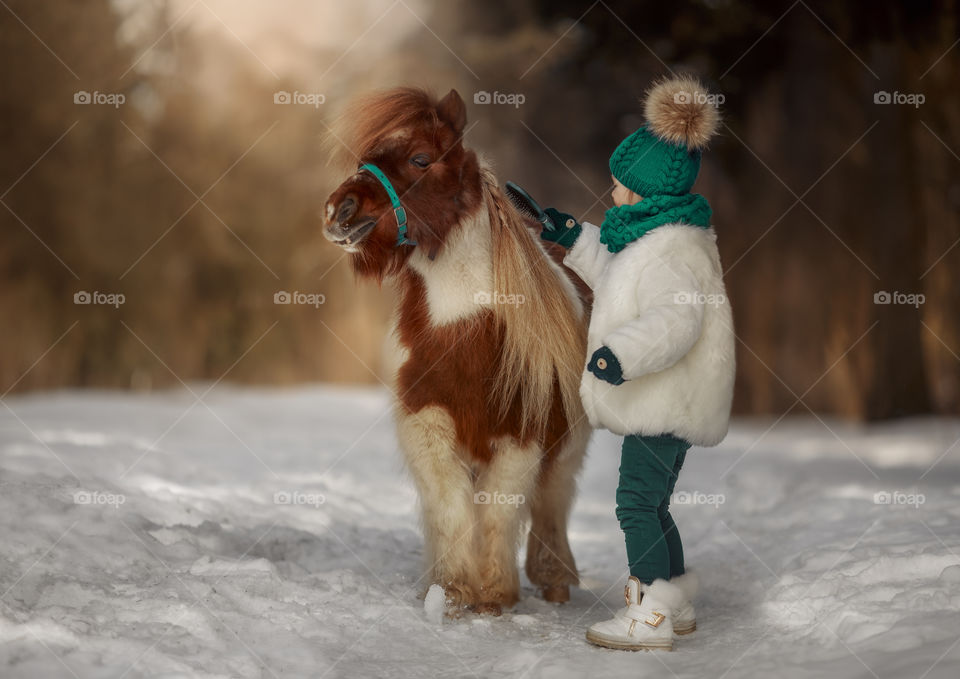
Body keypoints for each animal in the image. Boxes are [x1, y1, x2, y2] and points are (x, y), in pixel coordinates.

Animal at [326, 86, 588, 616]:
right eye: (364, 159)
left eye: (420, 159)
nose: (337, 211)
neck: (466, 335)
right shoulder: (427, 425)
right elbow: (450, 509)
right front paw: (452, 591)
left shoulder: (520, 438)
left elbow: (498, 514)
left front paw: (494, 596)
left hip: (567, 450)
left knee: (552, 502)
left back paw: (554, 581)